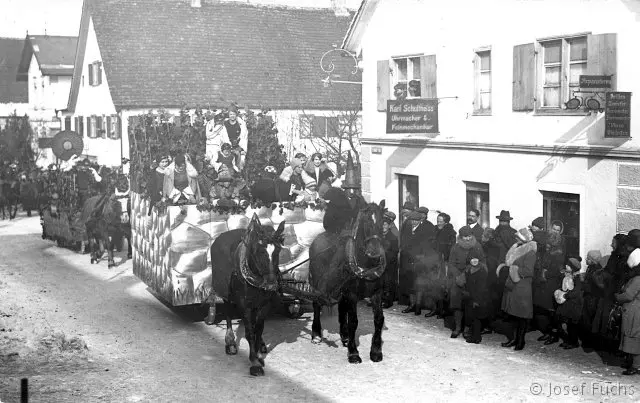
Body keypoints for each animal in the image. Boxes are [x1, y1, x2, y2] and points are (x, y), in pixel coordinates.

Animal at [206, 216, 286, 378]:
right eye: (259, 251)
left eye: (278, 250)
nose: (271, 284)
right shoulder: (244, 304)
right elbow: (249, 332)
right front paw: (254, 362)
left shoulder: (264, 304)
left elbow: (258, 329)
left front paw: (259, 355)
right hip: (226, 294)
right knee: (228, 314)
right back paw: (230, 342)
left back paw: (261, 345)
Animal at [308, 199, 388, 366]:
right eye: (365, 221)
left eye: (382, 221)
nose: (374, 251)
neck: (367, 266)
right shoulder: (351, 294)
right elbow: (353, 321)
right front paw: (353, 353)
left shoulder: (376, 293)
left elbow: (378, 319)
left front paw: (376, 351)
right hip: (317, 283)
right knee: (317, 304)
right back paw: (316, 334)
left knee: (341, 308)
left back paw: (344, 335)